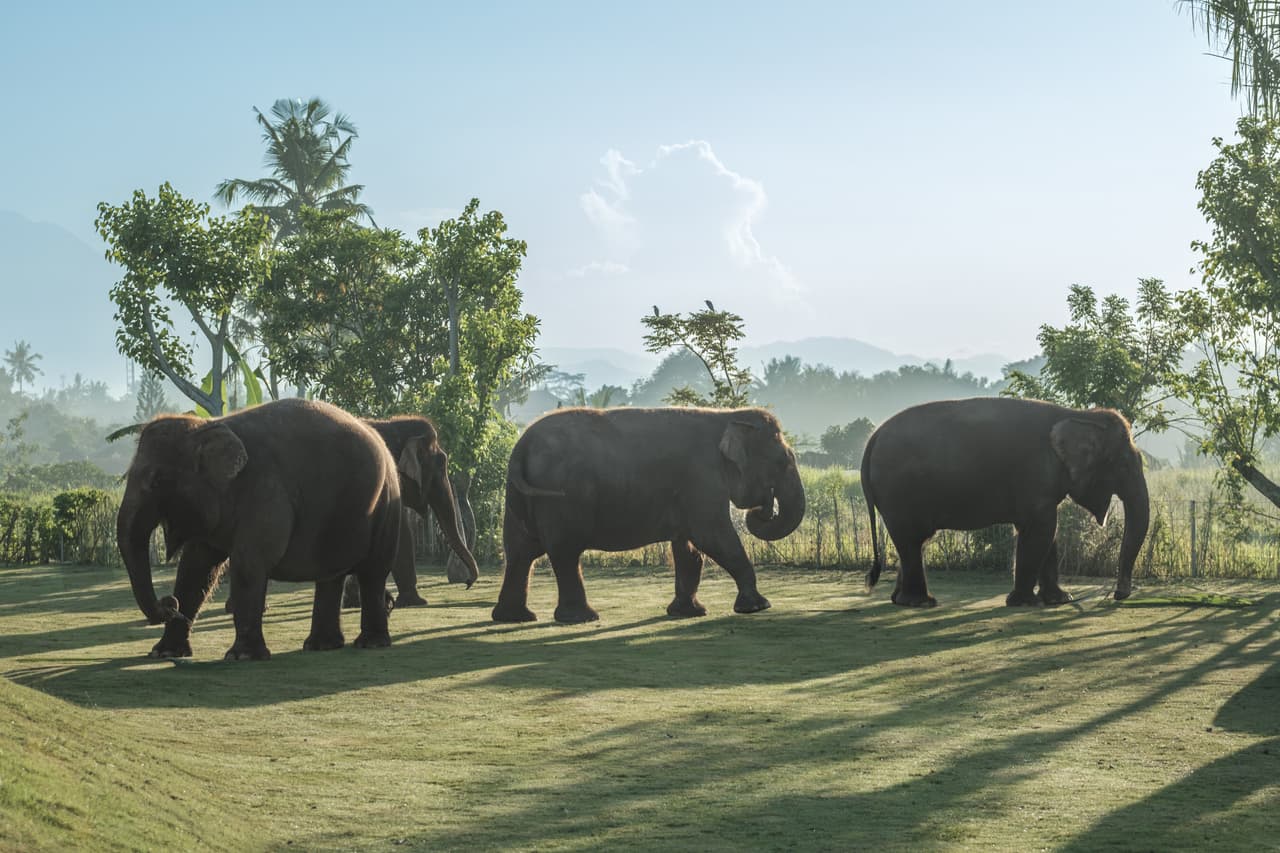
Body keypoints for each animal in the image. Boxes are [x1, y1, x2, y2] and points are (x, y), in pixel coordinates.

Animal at [117, 398, 405, 660]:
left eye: (157, 481)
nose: (169, 604)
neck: (208, 426)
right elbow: (195, 567)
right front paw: (164, 653)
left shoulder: (265, 490)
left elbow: (249, 561)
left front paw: (241, 656)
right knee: (330, 576)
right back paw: (320, 645)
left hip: (387, 507)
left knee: (373, 573)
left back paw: (370, 643)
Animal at [491, 406, 806, 624]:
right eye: (781, 461)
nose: (762, 508)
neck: (727, 416)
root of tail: (521, 446)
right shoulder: (701, 479)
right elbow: (713, 536)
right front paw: (757, 607)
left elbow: (689, 549)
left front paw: (688, 613)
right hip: (559, 499)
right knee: (564, 552)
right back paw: (582, 618)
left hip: (517, 498)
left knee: (520, 553)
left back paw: (515, 617)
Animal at [860, 397, 1151, 608]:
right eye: (1123, 464)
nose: (1119, 594)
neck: (1079, 414)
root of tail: (872, 439)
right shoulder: (1035, 477)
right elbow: (1041, 531)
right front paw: (1024, 603)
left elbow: (1049, 534)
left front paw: (1059, 600)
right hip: (899, 492)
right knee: (912, 540)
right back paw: (922, 603)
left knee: (912, 543)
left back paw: (901, 600)